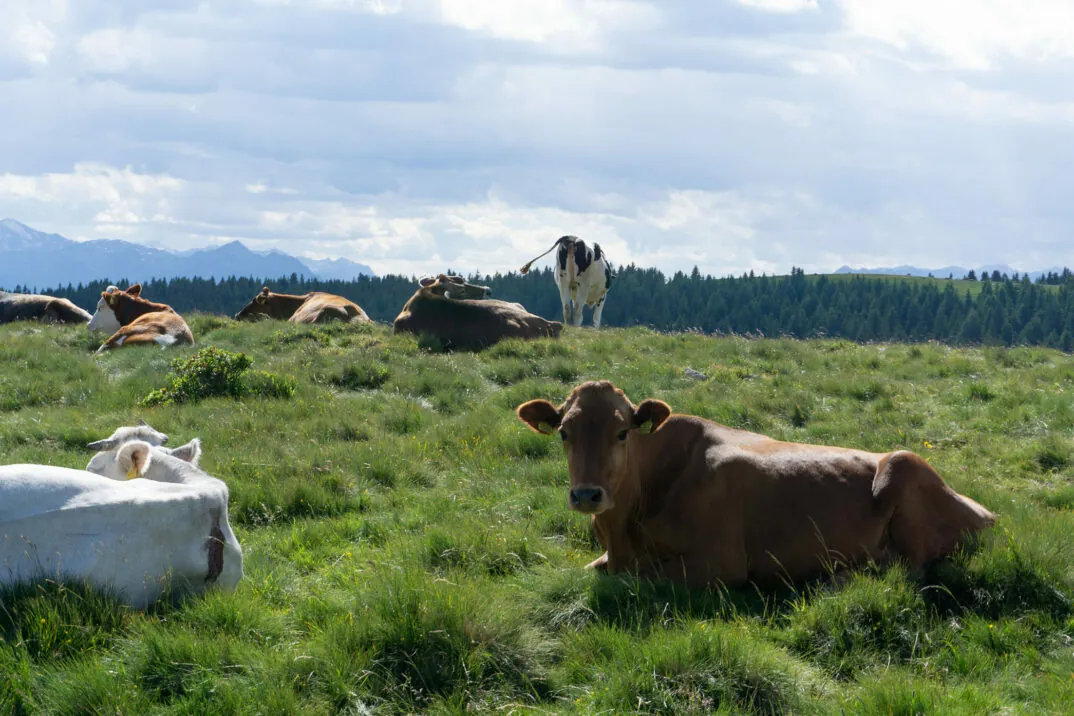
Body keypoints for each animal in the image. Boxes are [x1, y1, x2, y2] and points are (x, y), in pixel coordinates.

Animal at [516, 381, 996, 589]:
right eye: (564, 433)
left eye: (622, 433)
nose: (587, 494)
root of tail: (985, 510)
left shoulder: (721, 562)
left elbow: (639, 580)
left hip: (904, 464)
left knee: (907, 567)